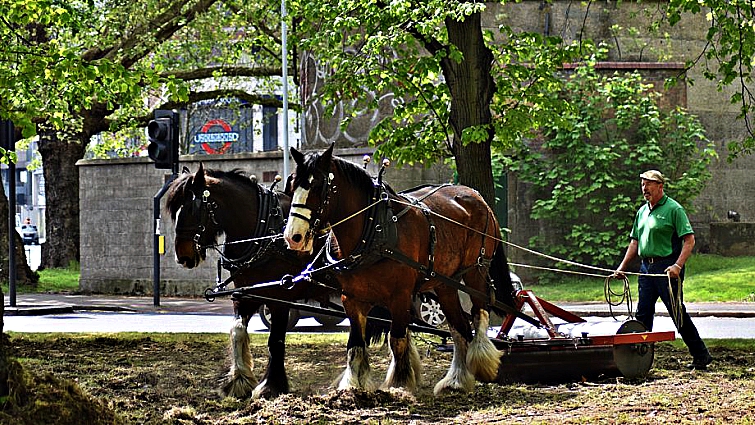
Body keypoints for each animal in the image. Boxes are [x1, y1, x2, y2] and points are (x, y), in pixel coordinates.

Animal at [165, 163, 336, 399]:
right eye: (176, 211)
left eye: (192, 208)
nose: (183, 256)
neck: (264, 231)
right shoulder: (246, 294)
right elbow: (237, 331)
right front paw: (239, 381)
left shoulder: (280, 297)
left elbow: (276, 340)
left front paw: (271, 385)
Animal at [283, 143, 517, 394]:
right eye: (292, 185)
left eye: (318, 185)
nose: (293, 236)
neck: (374, 228)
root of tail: (478, 197)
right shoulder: (352, 299)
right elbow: (355, 343)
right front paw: (354, 385)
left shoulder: (400, 296)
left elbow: (397, 340)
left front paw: (399, 384)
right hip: (445, 282)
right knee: (459, 327)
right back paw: (457, 380)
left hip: (476, 271)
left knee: (479, 312)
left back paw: (480, 361)